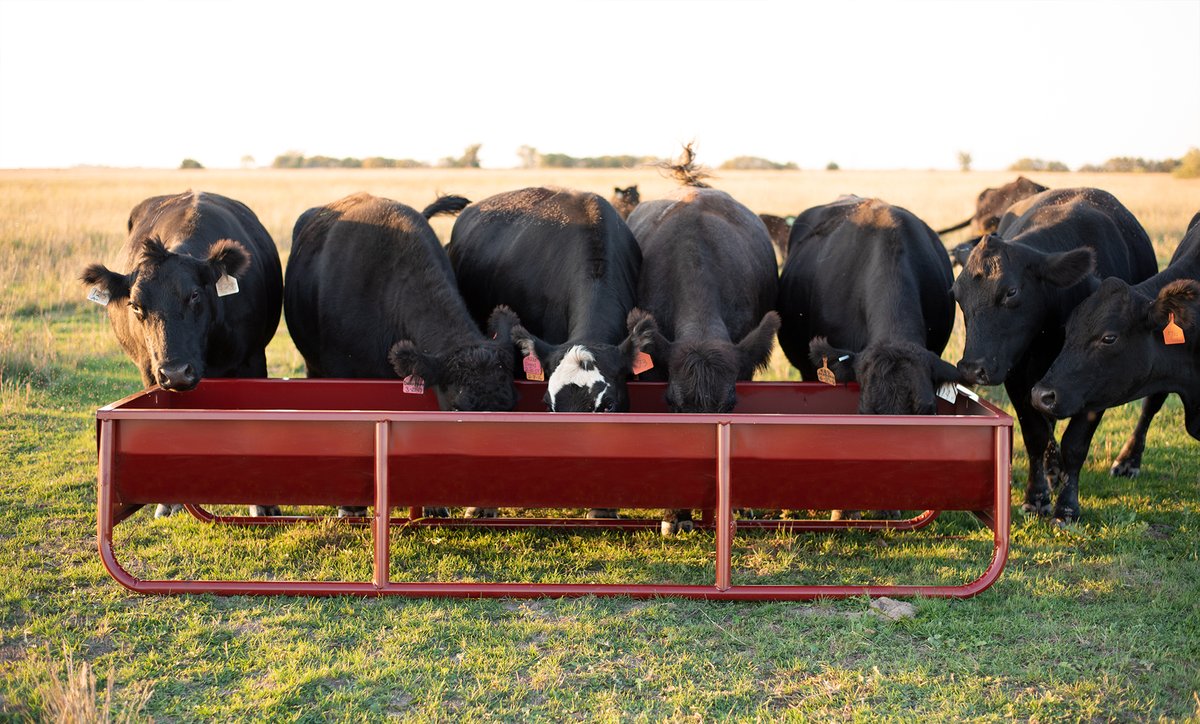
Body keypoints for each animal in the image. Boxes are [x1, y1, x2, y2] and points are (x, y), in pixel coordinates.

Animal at [80, 190, 284, 518]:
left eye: (195, 295)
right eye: (135, 306)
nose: (176, 372)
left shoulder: (252, 359)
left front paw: (264, 505)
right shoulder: (151, 371)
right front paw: (168, 500)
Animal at [952, 187, 1158, 521]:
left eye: (1011, 292)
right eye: (957, 295)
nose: (972, 369)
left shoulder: (1101, 381)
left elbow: (1075, 444)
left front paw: (1067, 506)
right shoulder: (1018, 379)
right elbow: (1036, 434)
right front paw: (1037, 496)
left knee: (1151, 405)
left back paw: (1128, 461)